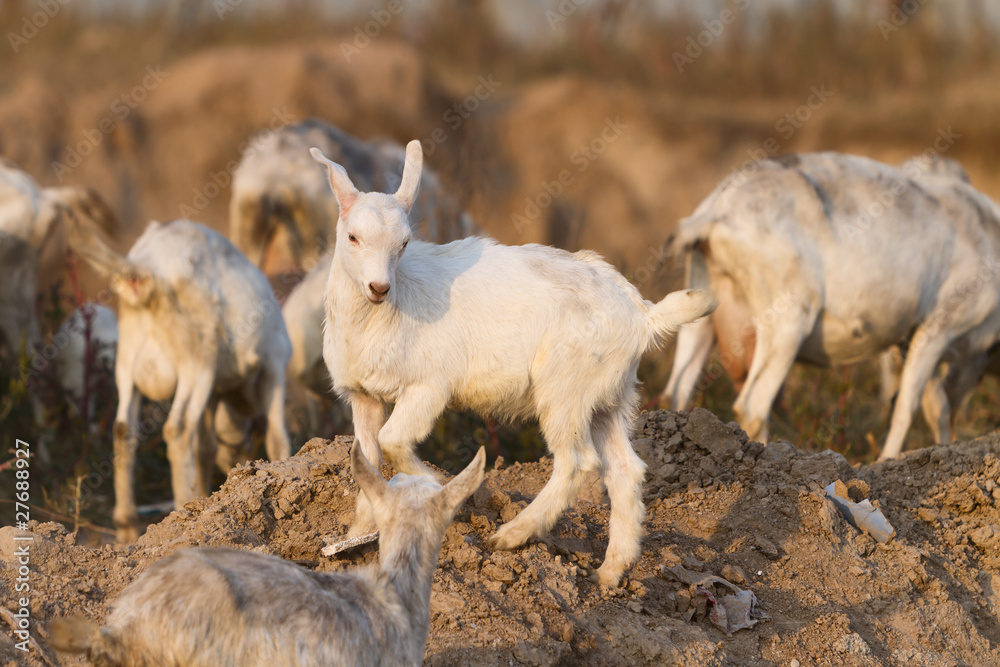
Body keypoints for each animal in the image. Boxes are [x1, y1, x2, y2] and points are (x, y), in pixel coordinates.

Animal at [70, 218, 292, 542]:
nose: (237, 458)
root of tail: (147, 265)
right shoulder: (274, 365)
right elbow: (276, 439)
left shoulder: (213, 393)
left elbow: (205, 448)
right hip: (196, 361)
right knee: (178, 428)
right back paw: (180, 510)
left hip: (127, 363)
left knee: (123, 429)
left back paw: (127, 525)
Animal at [310, 140, 717, 586]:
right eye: (353, 237)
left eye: (403, 243)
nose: (378, 287)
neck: (381, 314)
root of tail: (643, 315)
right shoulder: (363, 397)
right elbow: (366, 457)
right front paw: (356, 533)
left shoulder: (429, 386)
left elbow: (393, 440)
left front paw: (445, 487)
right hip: (609, 397)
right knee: (626, 469)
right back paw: (609, 572)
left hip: (564, 388)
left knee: (578, 461)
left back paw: (511, 535)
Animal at [662, 152, 1000, 460]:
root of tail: (717, 211)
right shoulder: (938, 328)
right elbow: (909, 406)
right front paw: (888, 461)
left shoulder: (911, 337)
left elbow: (935, 406)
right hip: (787, 319)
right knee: (753, 405)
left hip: (700, 312)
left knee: (675, 393)